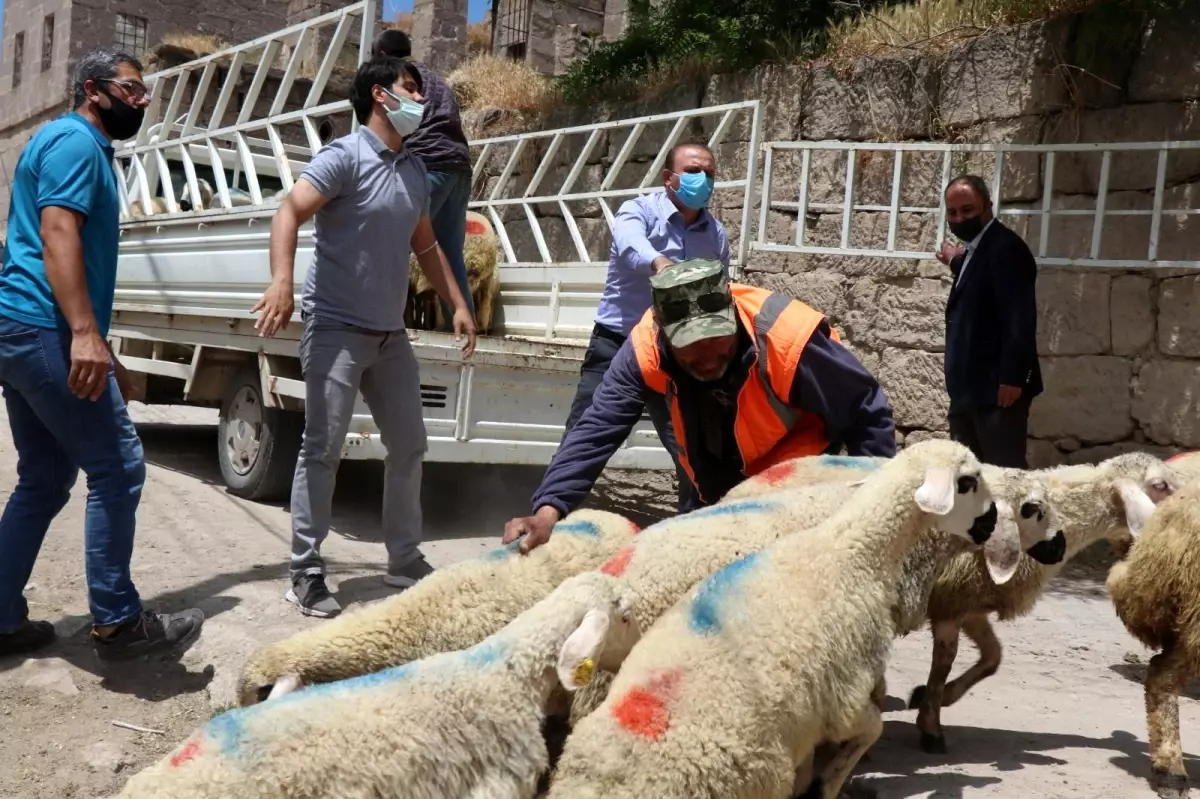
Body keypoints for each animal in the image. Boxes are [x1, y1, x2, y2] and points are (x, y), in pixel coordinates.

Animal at [549, 436, 1012, 796]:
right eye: (968, 482)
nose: (990, 522)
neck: (855, 556)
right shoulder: (843, 697)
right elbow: (872, 728)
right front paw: (829, 783)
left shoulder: (810, 715)